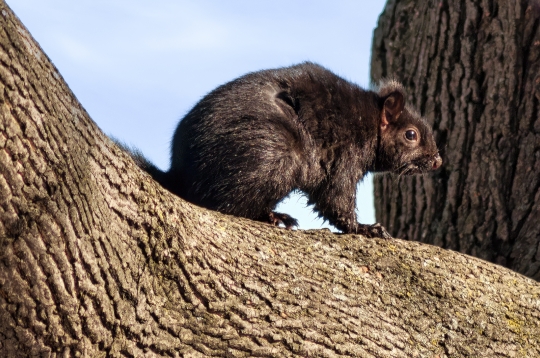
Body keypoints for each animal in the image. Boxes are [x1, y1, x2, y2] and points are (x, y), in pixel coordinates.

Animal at [125, 63, 438, 236]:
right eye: (411, 135)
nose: (437, 161)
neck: (372, 122)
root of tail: (179, 173)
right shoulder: (345, 155)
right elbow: (335, 197)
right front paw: (364, 228)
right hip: (274, 155)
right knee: (221, 203)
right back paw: (271, 216)